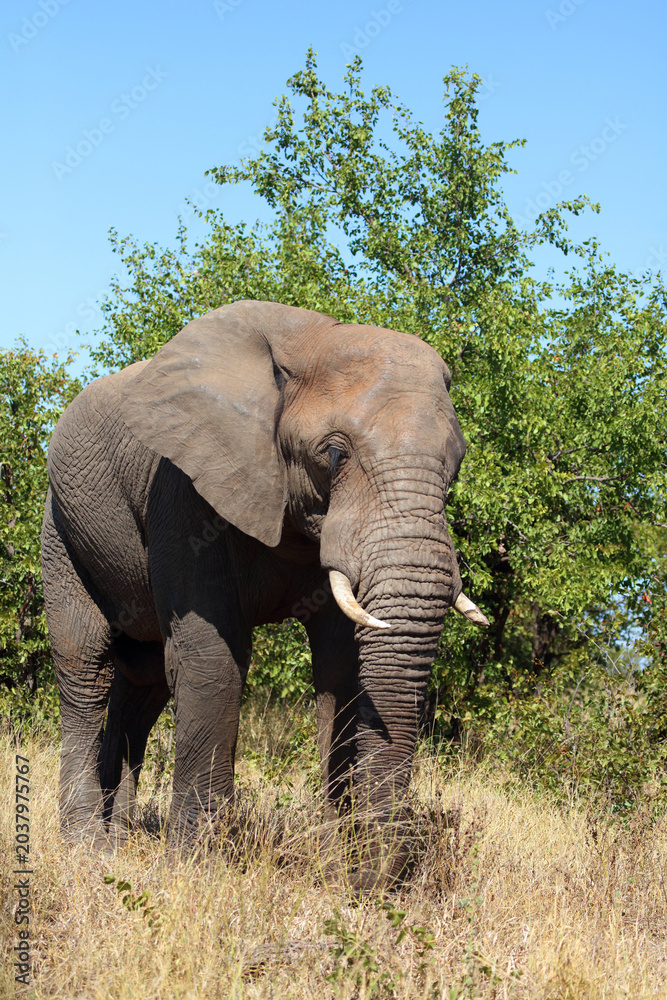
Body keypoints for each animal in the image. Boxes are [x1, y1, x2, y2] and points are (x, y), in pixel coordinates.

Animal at [41, 299, 488, 891]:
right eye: (335, 455)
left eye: (456, 464)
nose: (371, 887)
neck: (315, 341)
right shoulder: (184, 490)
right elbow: (211, 659)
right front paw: (196, 871)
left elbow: (342, 670)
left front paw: (330, 868)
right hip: (61, 524)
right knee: (85, 662)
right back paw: (89, 849)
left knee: (143, 680)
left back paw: (120, 838)